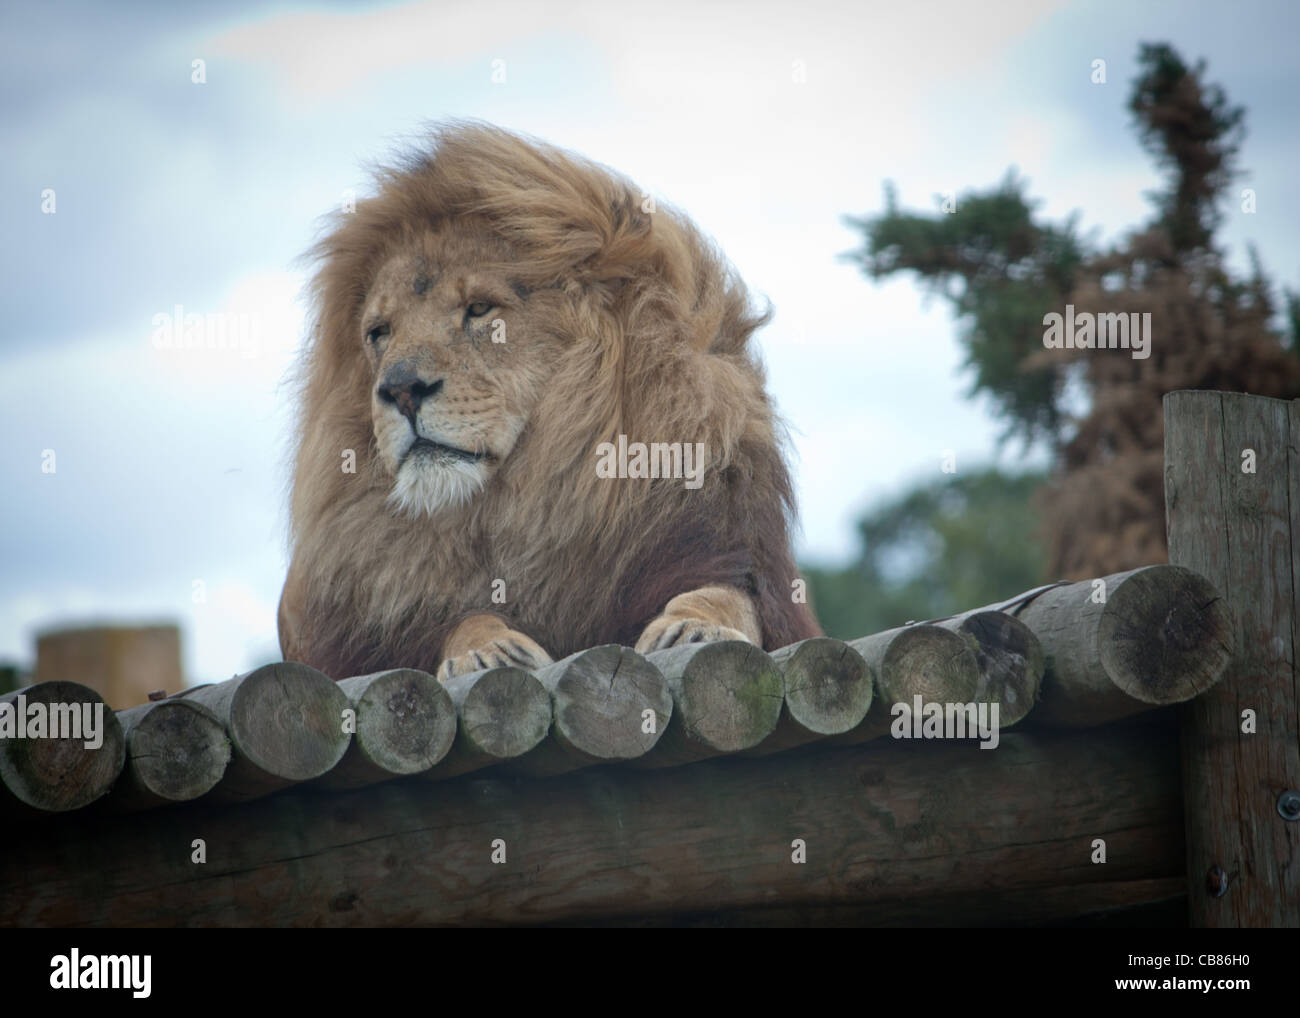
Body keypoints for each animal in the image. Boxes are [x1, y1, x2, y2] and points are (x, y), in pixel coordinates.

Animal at [278, 119, 816, 681]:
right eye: (379, 333)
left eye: (479, 309)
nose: (401, 389)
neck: (536, 491)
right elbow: (462, 622)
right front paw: (485, 650)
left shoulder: (731, 553)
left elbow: (723, 597)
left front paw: (692, 626)